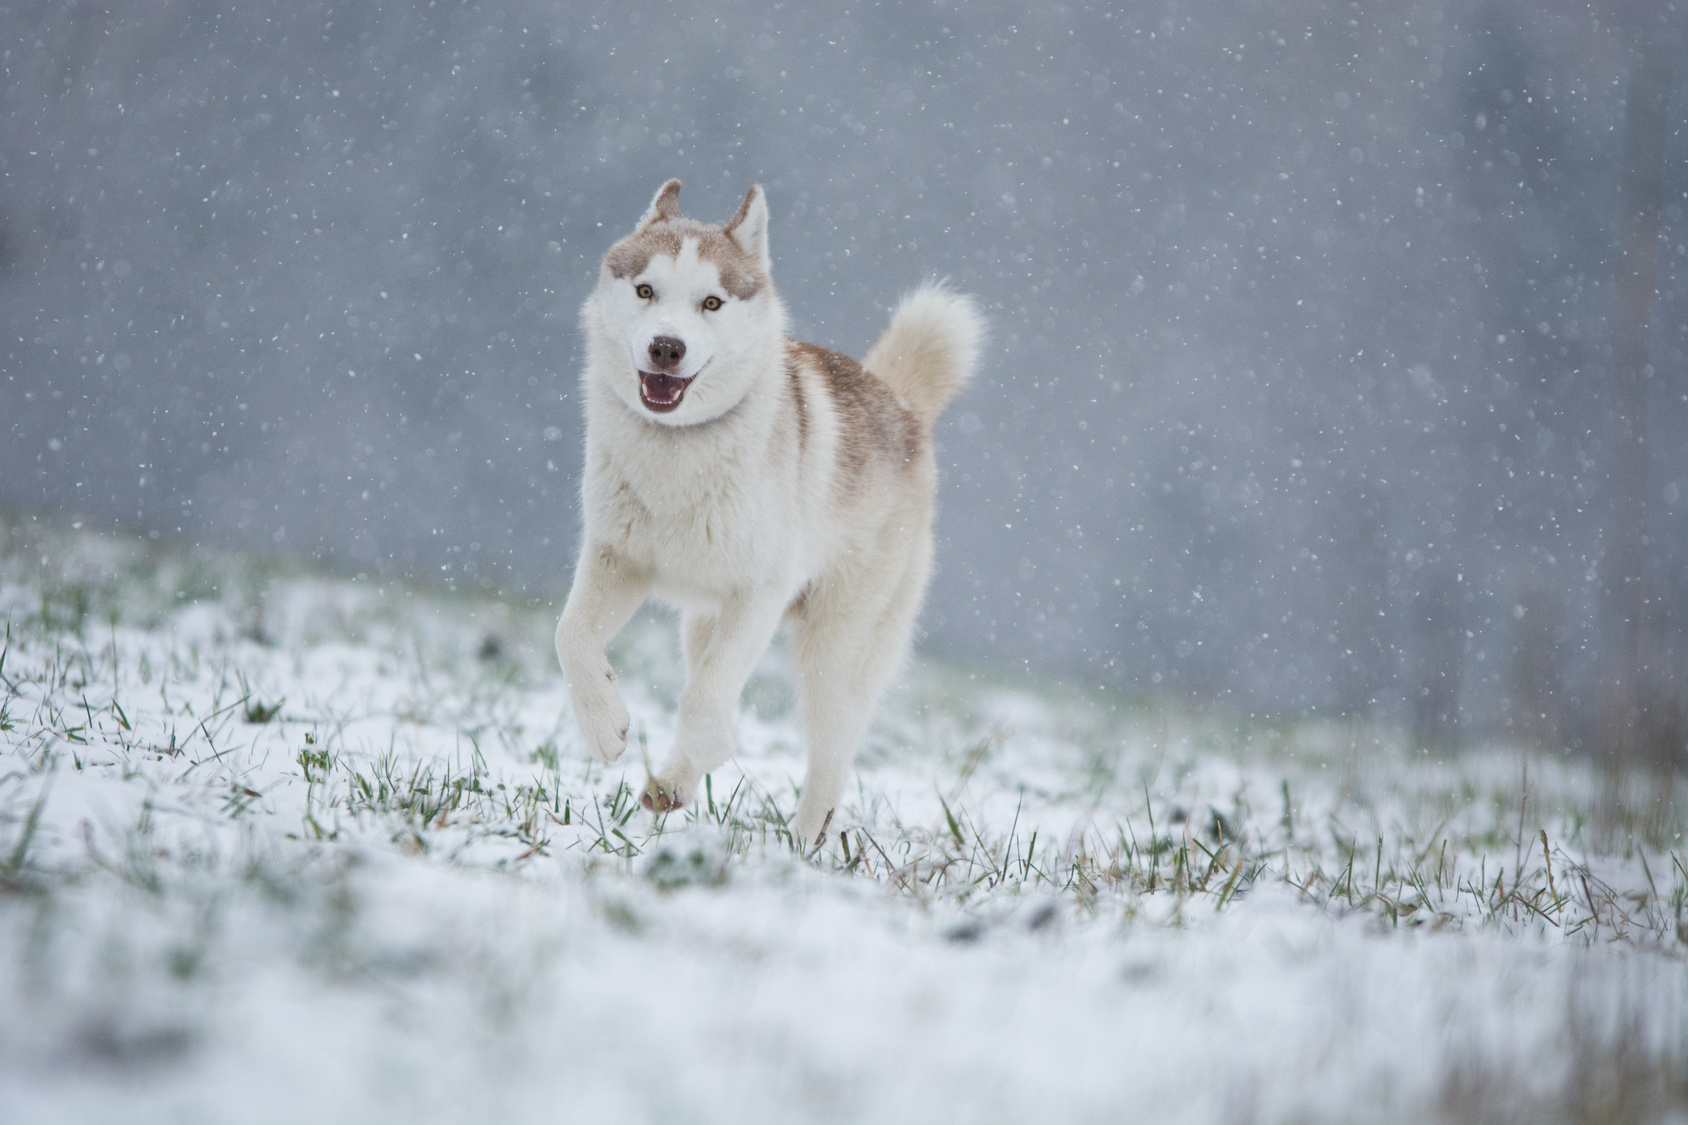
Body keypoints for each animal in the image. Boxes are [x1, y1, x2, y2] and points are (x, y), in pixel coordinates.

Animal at [553, 177, 985, 841]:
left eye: (711, 302)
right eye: (646, 290)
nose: (666, 347)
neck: (679, 449)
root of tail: (902, 403)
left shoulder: (759, 591)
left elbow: (705, 701)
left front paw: (714, 748)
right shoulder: (618, 561)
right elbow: (570, 636)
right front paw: (606, 728)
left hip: (834, 655)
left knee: (831, 753)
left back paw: (803, 844)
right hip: (703, 622)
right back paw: (671, 785)